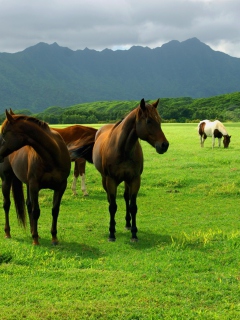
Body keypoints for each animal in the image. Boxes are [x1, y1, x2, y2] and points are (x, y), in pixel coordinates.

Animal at [0, 110, 71, 245]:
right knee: (7, 205)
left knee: (28, 205)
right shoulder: (34, 186)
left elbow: (55, 210)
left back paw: (32, 231)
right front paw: (35, 240)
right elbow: (36, 211)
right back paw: (8, 233)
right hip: (6, 179)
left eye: (4, 133)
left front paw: (54, 238)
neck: (52, 157)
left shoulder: (61, 186)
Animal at [70, 99, 170, 241]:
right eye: (149, 121)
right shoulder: (111, 180)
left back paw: (128, 224)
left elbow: (133, 206)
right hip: (105, 179)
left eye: (159, 120)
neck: (123, 149)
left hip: (126, 180)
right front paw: (111, 233)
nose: (164, 145)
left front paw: (134, 233)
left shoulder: (134, 179)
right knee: (110, 199)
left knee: (126, 197)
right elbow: (112, 206)